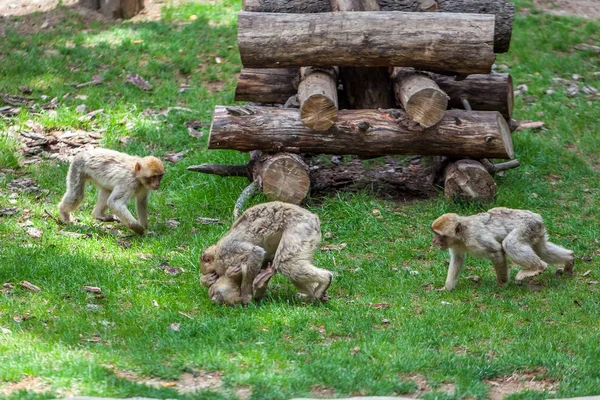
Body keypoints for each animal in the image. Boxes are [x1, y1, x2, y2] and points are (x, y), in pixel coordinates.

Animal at [200, 202, 332, 304]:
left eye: (214, 273)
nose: (214, 277)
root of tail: (313, 218)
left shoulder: (228, 250)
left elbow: (256, 252)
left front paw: (246, 295)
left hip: (300, 229)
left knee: (285, 263)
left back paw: (326, 279)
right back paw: (312, 296)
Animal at [432, 206, 572, 290]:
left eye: (439, 235)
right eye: (434, 233)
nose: (434, 240)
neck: (462, 236)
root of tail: (537, 217)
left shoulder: (476, 238)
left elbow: (497, 251)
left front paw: (502, 283)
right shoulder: (456, 246)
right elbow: (457, 259)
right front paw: (447, 288)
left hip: (527, 227)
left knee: (509, 244)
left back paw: (538, 267)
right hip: (536, 231)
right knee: (543, 251)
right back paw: (570, 259)